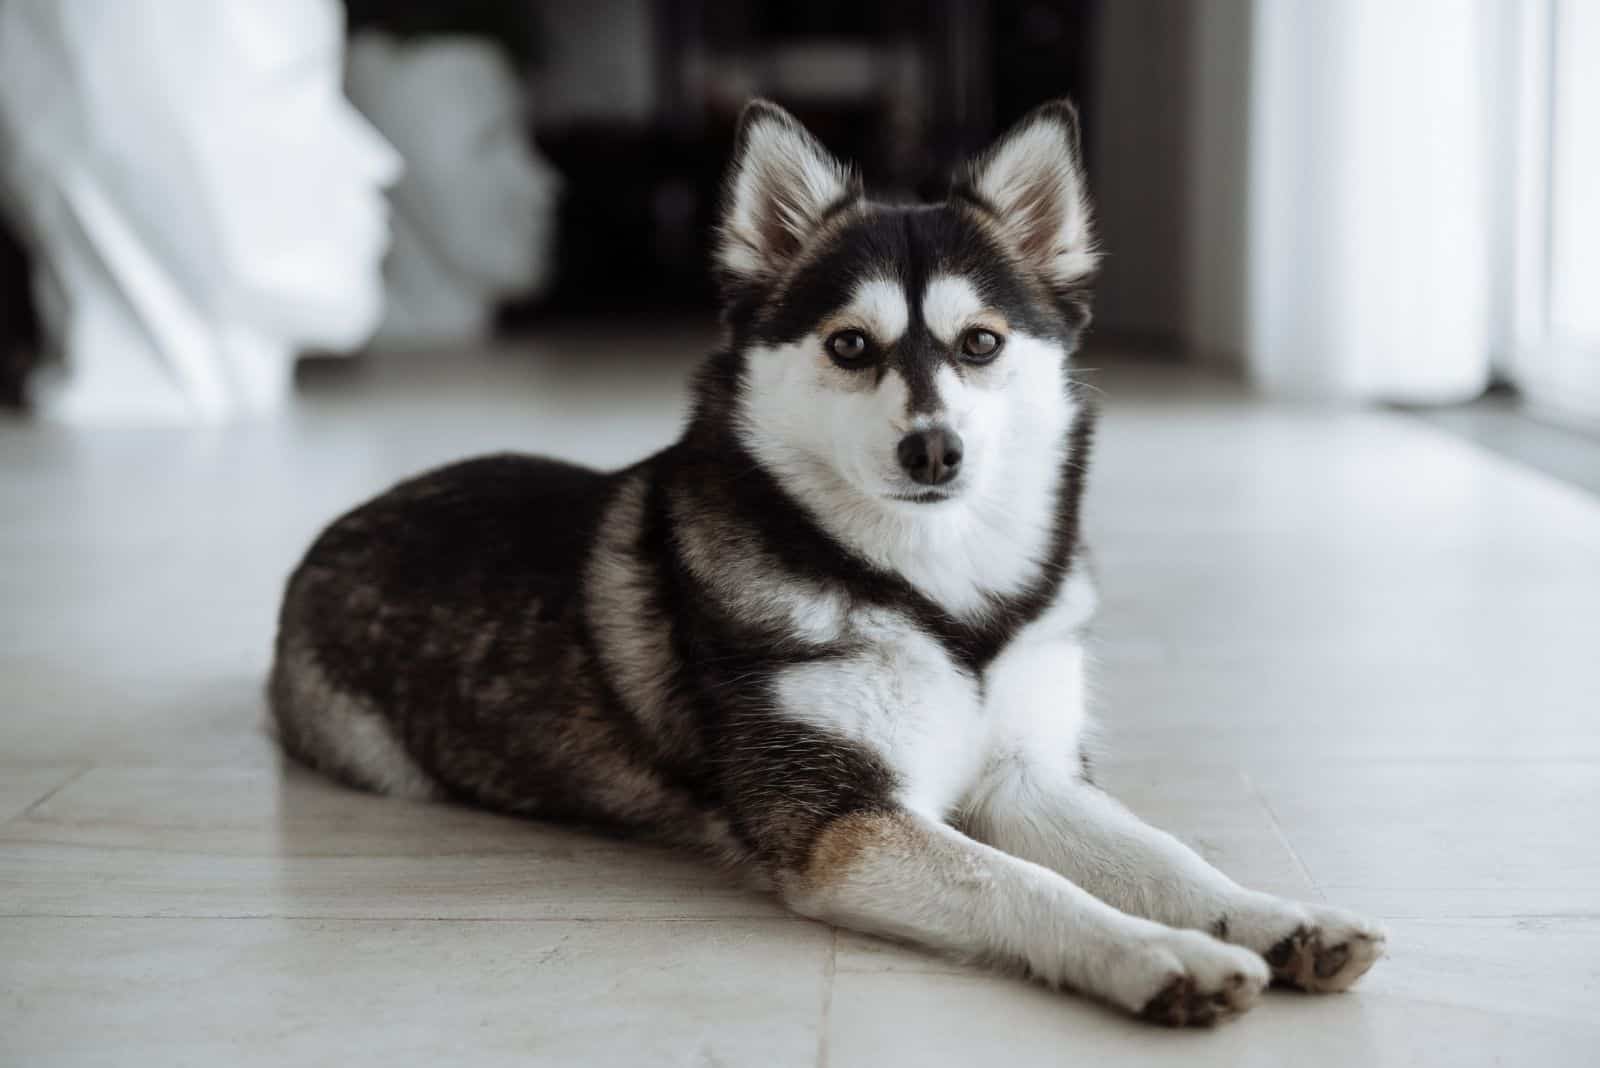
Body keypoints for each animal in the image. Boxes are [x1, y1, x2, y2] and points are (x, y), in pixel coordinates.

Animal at [268, 99, 1382, 1023]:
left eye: (980, 344)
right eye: (851, 346)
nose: (934, 450)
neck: (942, 600)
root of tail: (344, 522)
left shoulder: (1027, 777)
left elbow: (1163, 854)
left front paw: (1273, 917)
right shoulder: (842, 823)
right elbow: (1024, 884)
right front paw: (1159, 956)